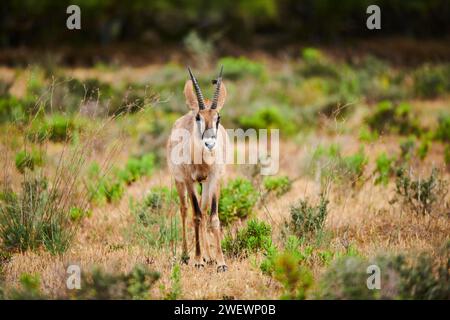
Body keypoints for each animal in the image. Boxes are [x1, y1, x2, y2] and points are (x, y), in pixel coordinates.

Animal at [166, 66, 229, 272]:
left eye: (218, 117)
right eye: (198, 117)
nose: (210, 143)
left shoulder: (215, 179)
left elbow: (213, 217)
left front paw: (220, 262)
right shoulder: (189, 181)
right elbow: (196, 216)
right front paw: (198, 260)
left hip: (205, 184)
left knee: (203, 207)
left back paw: (209, 257)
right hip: (179, 182)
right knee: (185, 210)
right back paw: (187, 255)